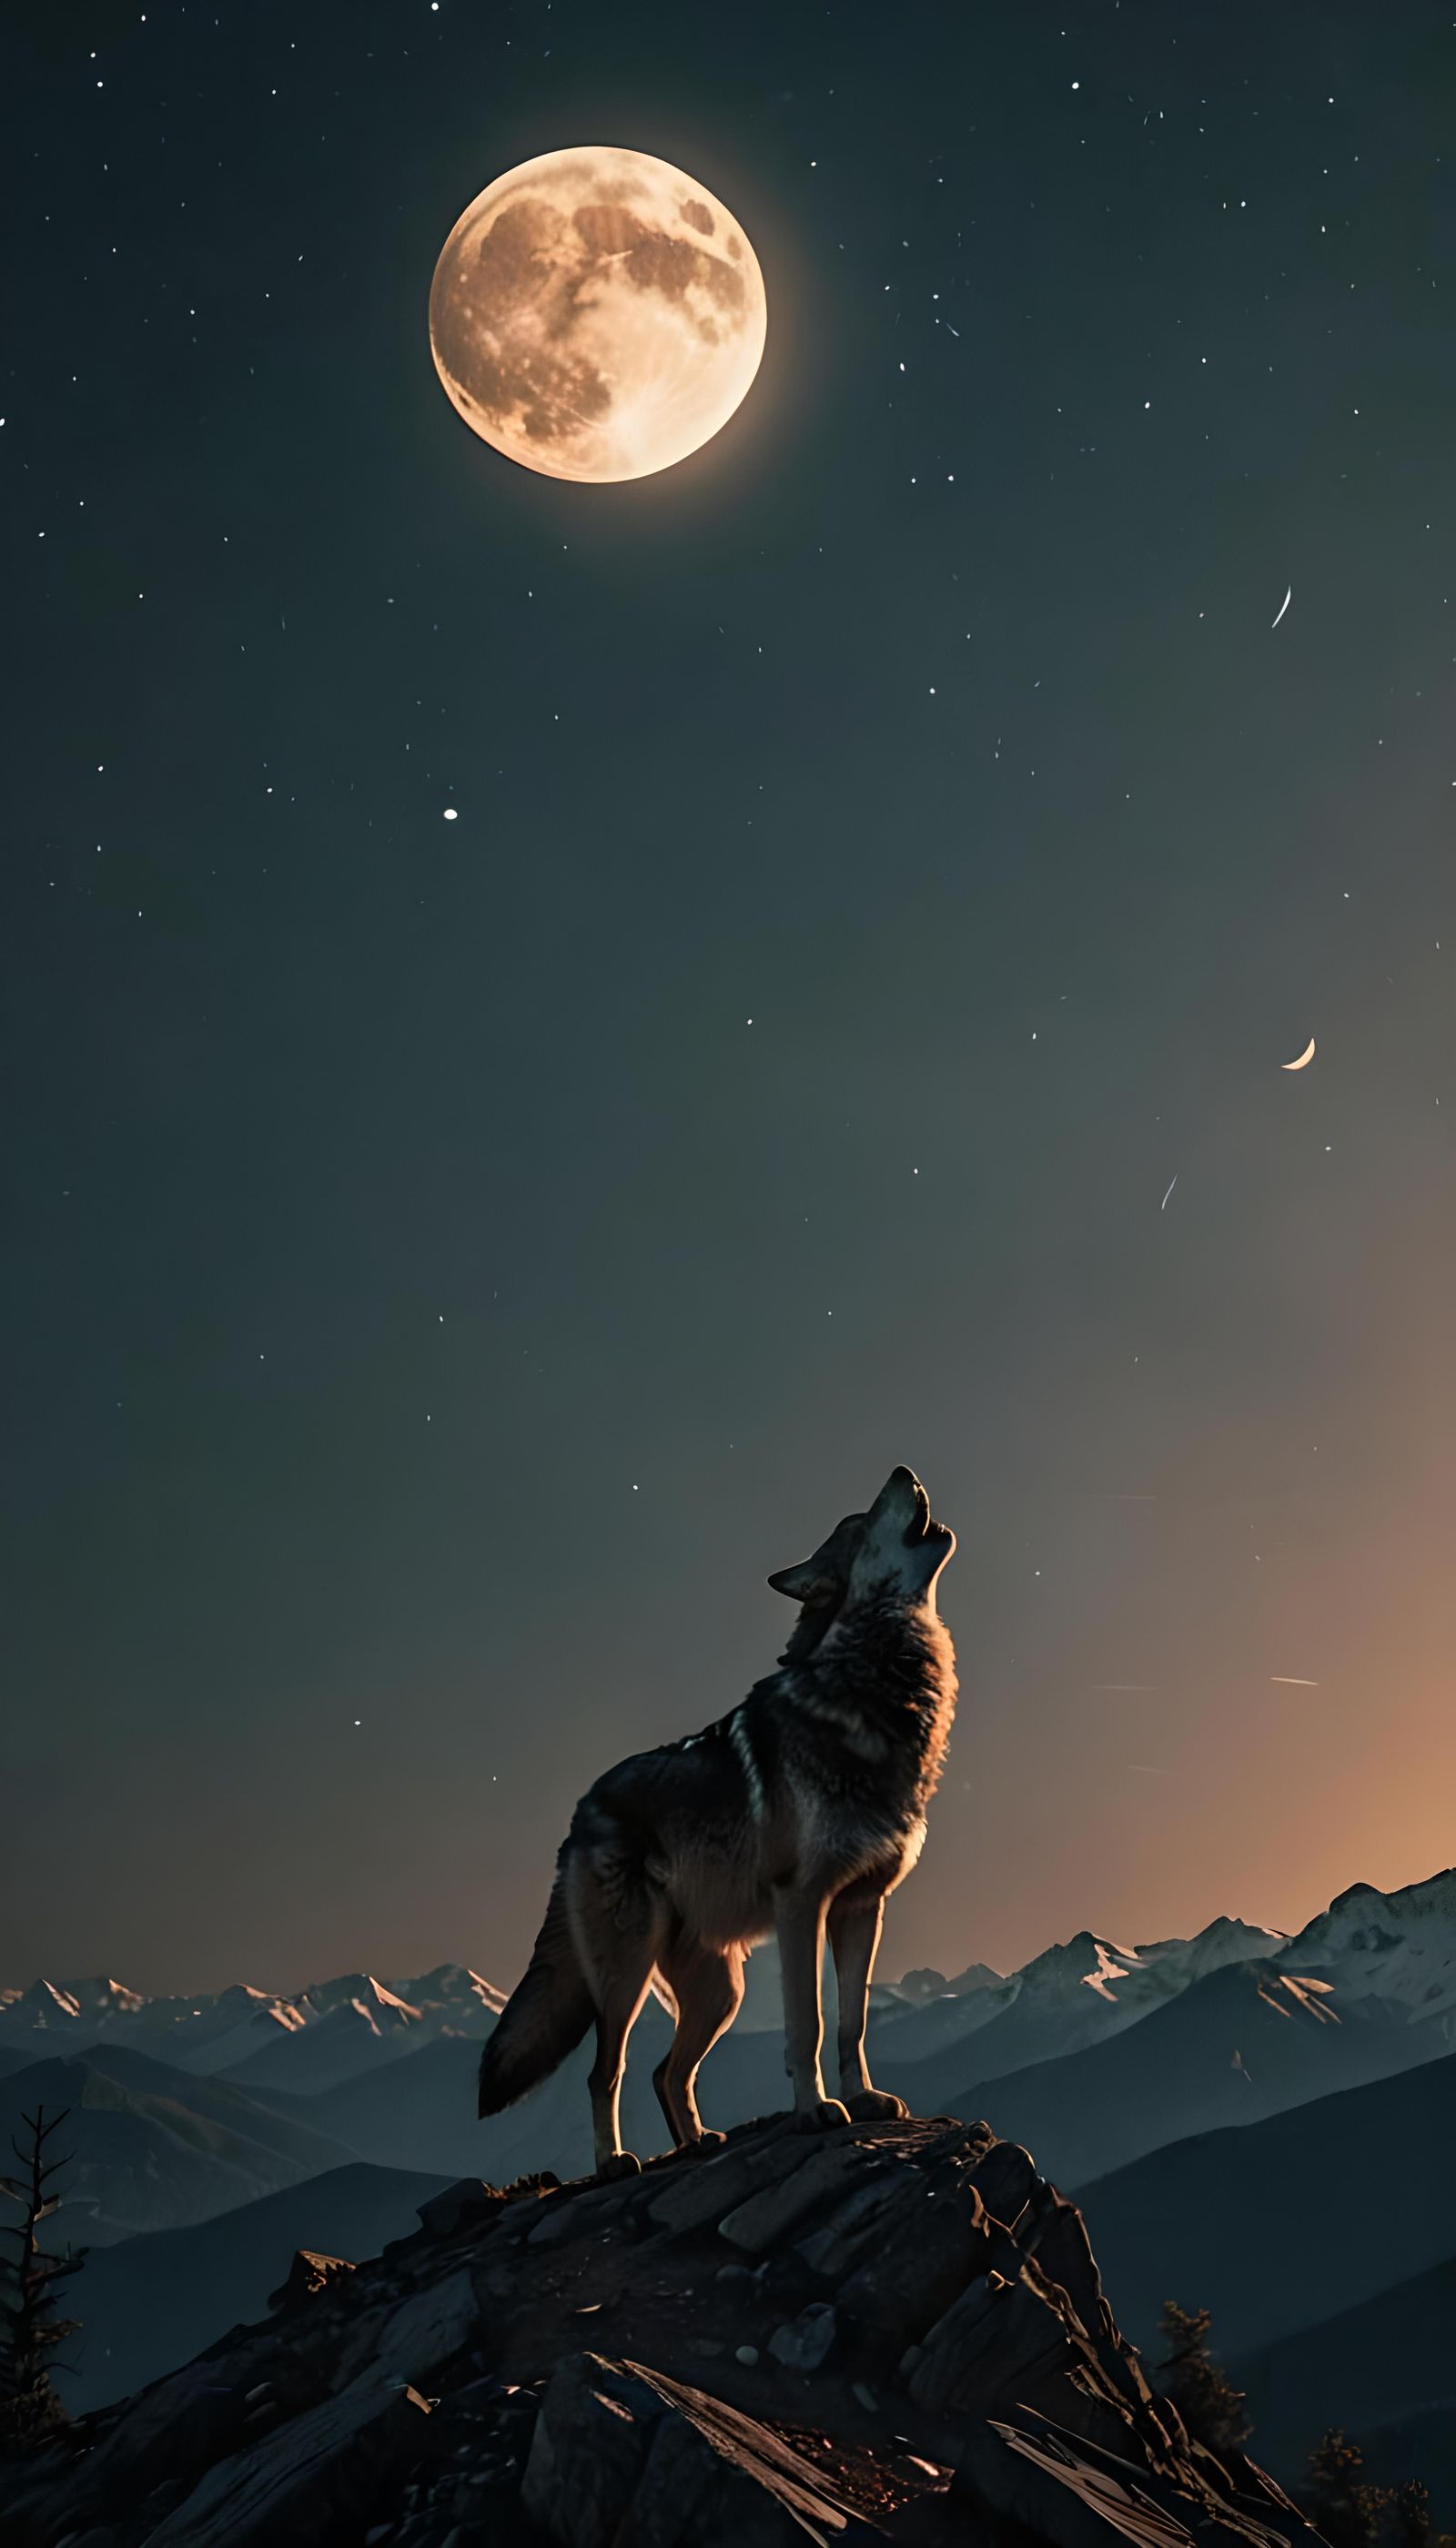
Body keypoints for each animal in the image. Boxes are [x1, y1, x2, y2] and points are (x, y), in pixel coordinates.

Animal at [477, 1465, 958, 2176]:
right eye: (863, 1518)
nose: (904, 1470)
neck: (874, 1685)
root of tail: (581, 1812)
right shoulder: (802, 1901)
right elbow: (808, 2024)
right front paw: (816, 2111)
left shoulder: (862, 1906)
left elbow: (854, 2021)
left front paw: (865, 2100)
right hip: (627, 1974)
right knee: (606, 2071)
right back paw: (614, 2161)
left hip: (719, 1991)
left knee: (666, 2072)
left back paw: (700, 2142)